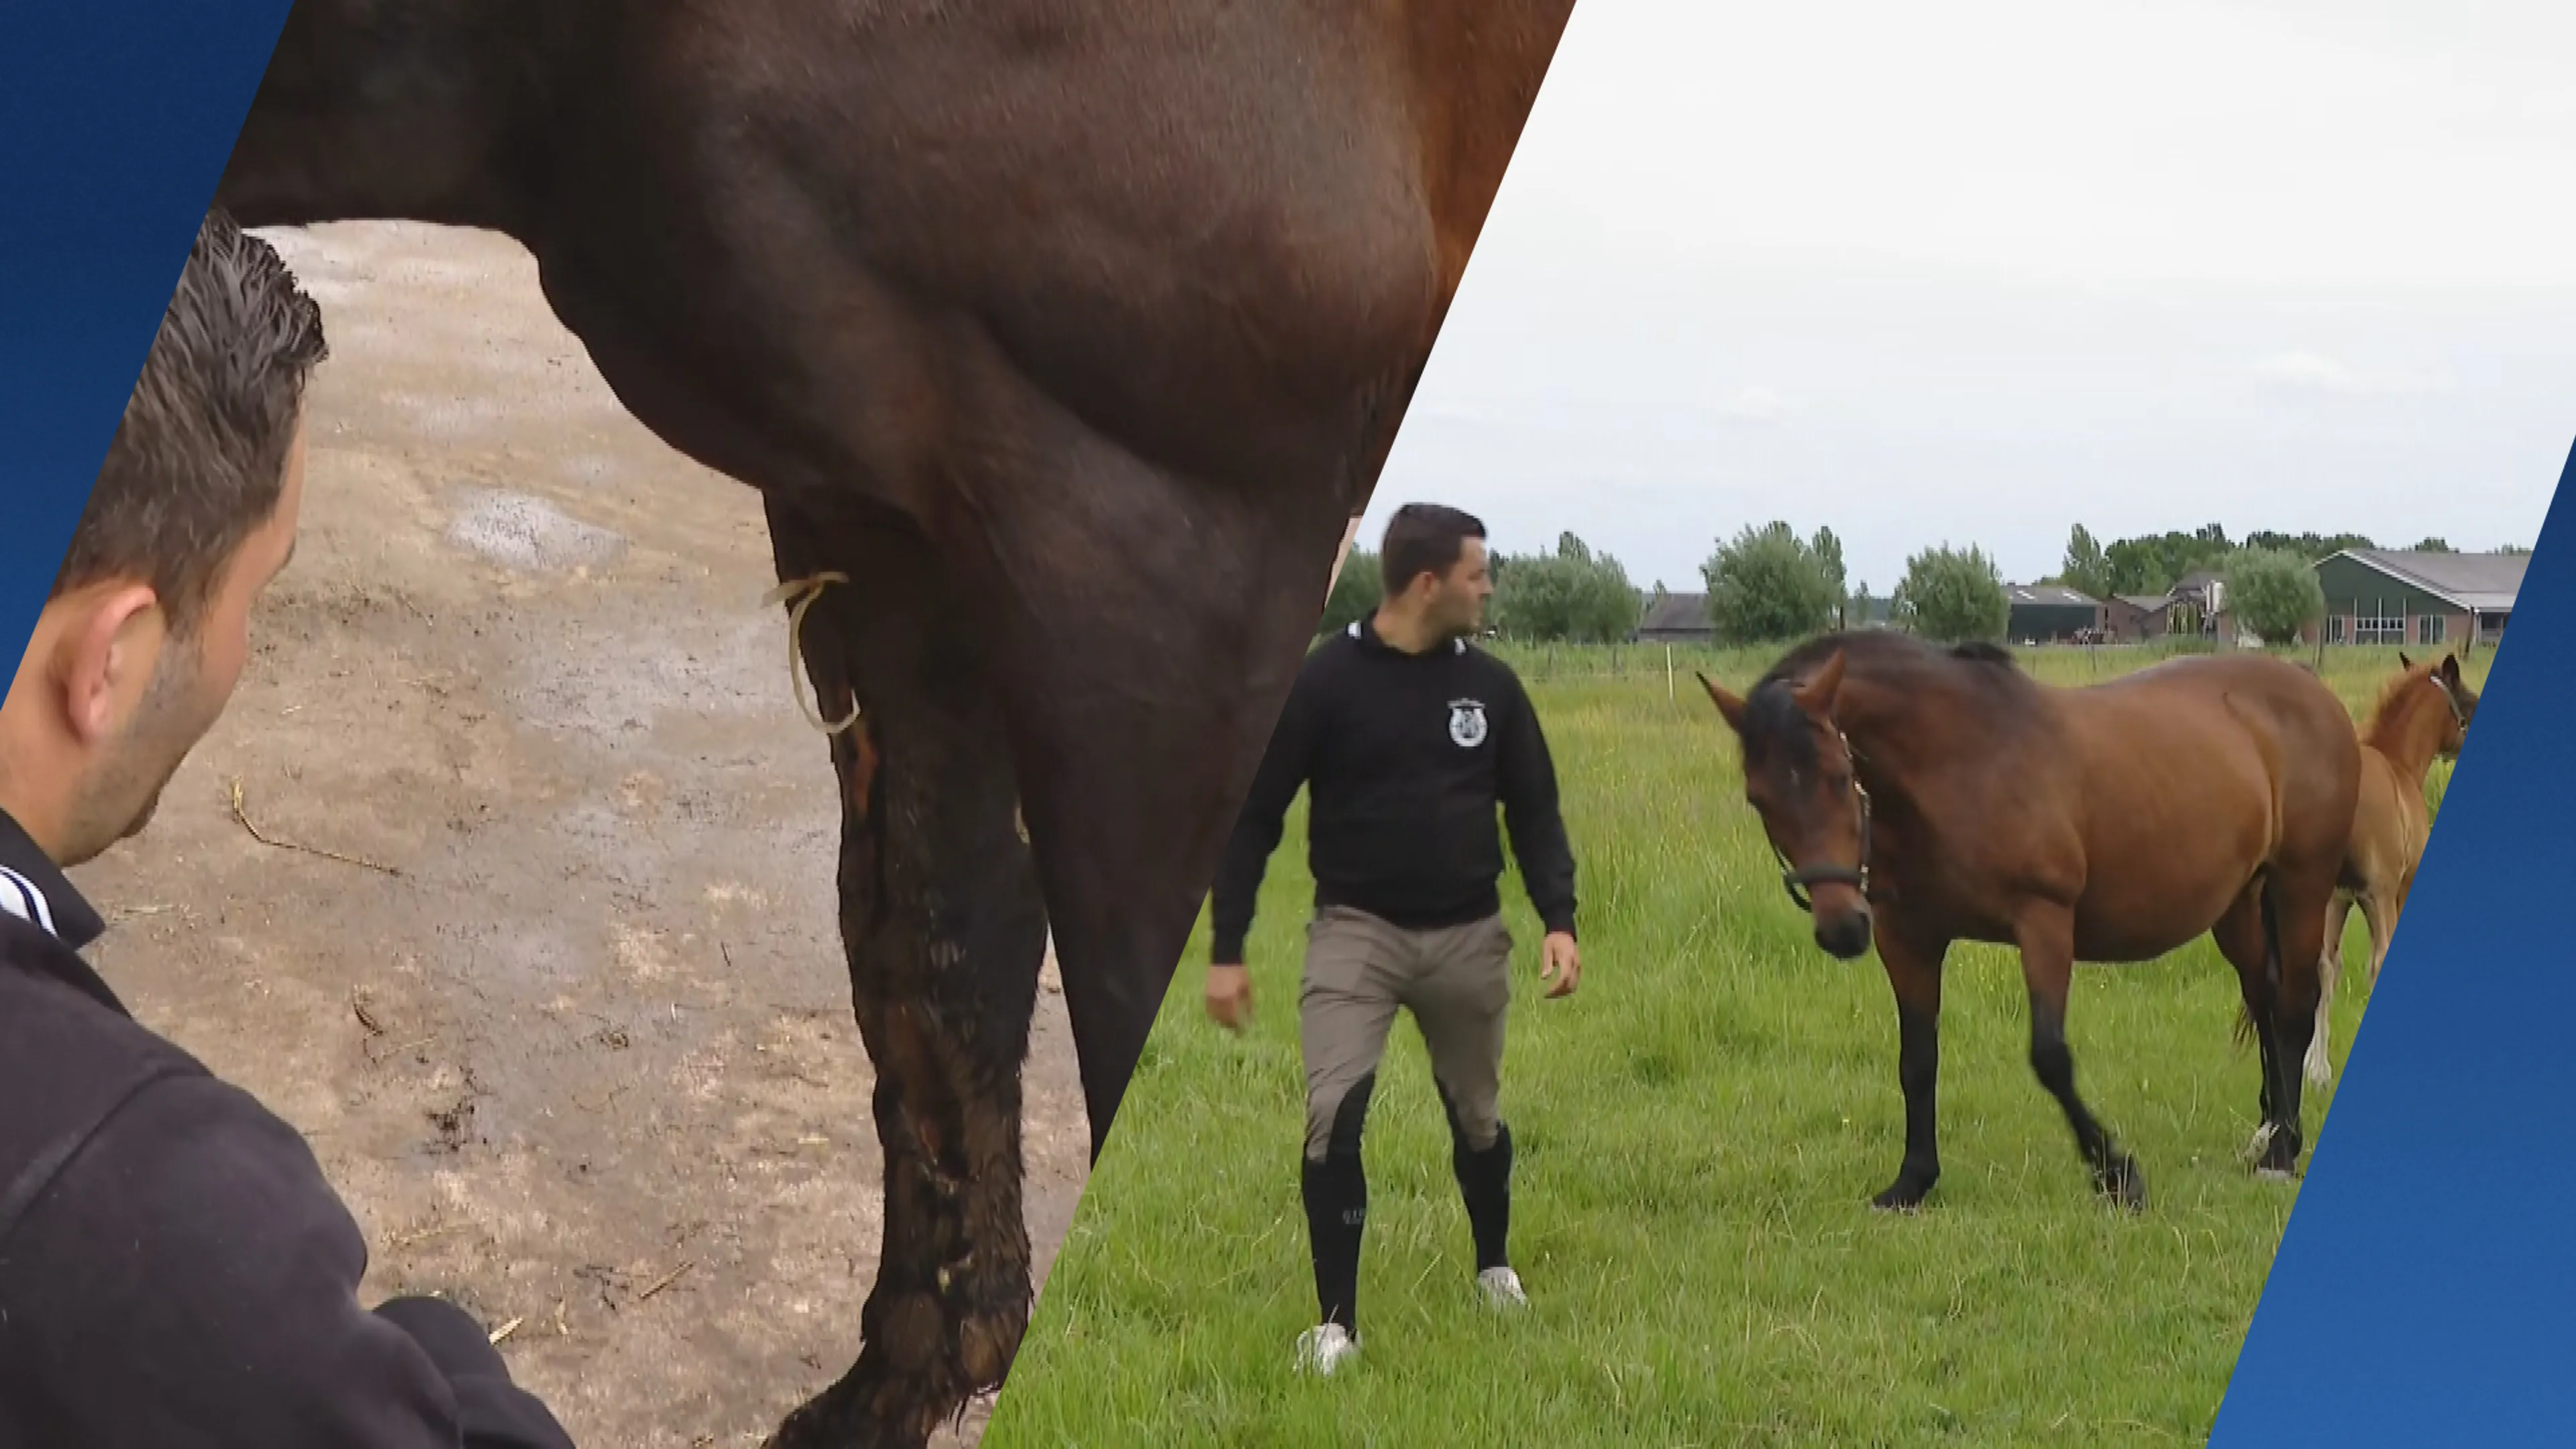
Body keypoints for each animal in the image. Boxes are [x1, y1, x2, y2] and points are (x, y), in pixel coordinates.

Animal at [1697, 632, 2362, 1212]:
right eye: (1760, 798)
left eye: (1840, 775)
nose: (1841, 929)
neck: (1961, 762)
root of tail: (2309, 688)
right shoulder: (1907, 939)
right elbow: (1917, 1060)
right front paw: (1912, 1181)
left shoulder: (2043, 921)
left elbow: (2050, 1057)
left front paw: (2117, 1174)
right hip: (2240, 904)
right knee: (2266, 999)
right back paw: (2271, 1130)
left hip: (2301, 885)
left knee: (2295, 1006)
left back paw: (2280, 1154)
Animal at [2302, 652, 2478, 1087]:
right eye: (2470, 701)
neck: (2399, 763)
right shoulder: (2398, 889)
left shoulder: (2339, 899)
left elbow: (2329, 968)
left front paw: (2316, 1067)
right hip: (2380, 896)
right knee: (2378, 962)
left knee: (2322, 967)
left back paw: (2318, 1069)